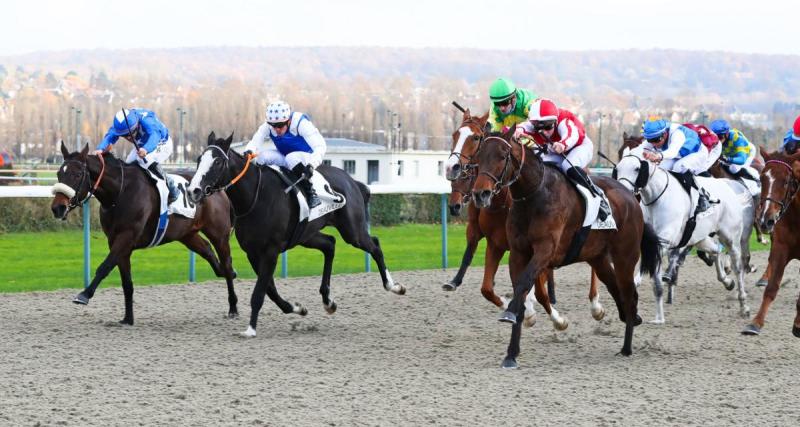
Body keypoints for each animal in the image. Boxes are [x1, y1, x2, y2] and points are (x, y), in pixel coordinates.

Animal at [48, 142, 238, 326]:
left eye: (77, 174)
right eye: (59, 173)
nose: (58, 208)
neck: (119, 193)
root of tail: (217, 189)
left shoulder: (126, 236)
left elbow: (105, 266)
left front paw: (84, 295)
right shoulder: (117, 241)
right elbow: (126, 282)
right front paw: (127, 319)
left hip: (219, 234)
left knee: (226, 262)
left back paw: (233, 307)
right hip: (187, 234)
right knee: (208, 250)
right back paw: (226, 273)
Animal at [185, 130, 404, 338]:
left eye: (218, 161)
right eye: (199, 159)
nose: (193, 190)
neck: (256, 196)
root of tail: (353, 181)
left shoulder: (271, 250)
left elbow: (259, 293)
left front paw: (250, 329)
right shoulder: (253, 252)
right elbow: (270, 290)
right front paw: (297, 308)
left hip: (353, 231)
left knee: (374, 245)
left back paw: (393, 286)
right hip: (306, 235)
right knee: (330, 244)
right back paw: (328, 301)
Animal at [468, 130, 664, 368]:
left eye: (503, 156)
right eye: (479, 156)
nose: (481, 194)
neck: (534, 195)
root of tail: (631, 197)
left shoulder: (545, 251)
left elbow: (524, 284)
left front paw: (509, 314)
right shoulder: (518, 254)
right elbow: (521, 292)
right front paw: (511, 354)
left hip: (625, 257)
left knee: (629, 294)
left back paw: (626, 347)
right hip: (598, 258)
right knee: (615, 288)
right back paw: (629, 318)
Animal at [616, 145, 752, 322]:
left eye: (637, 168)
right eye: (618, 168)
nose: (622, 192)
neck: (656, 198)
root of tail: (729, 188)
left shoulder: (663, 242)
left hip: (731, 238)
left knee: (737, 267)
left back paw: (744, 305)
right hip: (700, 238)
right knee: (716, 250)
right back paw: (727, 281)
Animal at [740, 151, 800, 338]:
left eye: (786, 181)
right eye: (762, 178)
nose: (766, 220)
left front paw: (798, 323)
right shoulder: (781, 246)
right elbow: (772, 288)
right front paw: (755, 323)